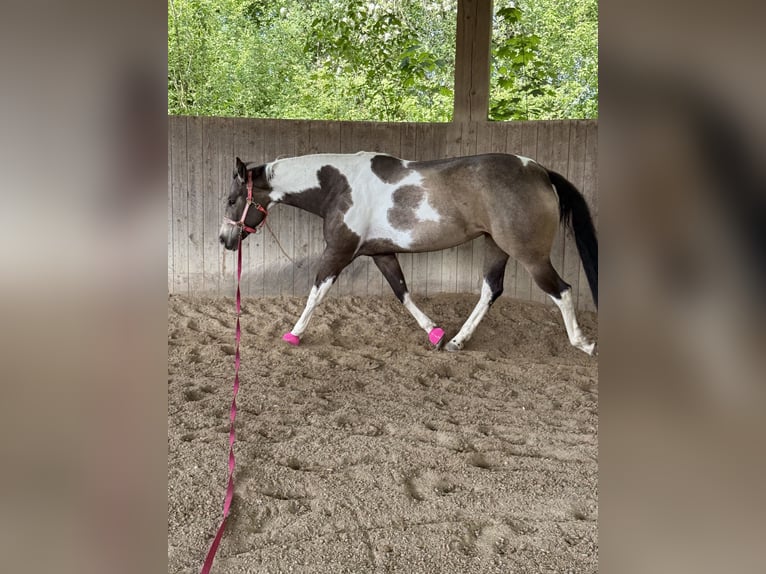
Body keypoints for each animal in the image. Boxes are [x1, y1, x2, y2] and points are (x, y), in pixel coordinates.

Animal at [219, 152, 597, 354]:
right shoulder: (381, 253)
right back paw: (457, 340)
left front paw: (294, 334)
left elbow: (316, 292)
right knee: (491, 289)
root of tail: (541, 172)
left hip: (529, 254)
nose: (225, 239)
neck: (339, 187)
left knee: (561, 290)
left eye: (232, 199)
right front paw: (435, 333)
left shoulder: (339, 251)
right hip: (496, 246)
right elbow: (402, 292)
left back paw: (583, 343)